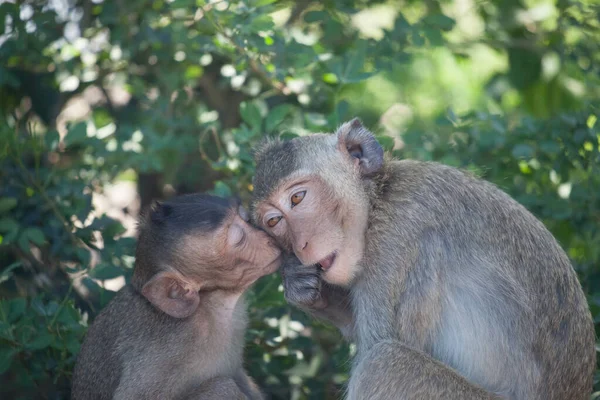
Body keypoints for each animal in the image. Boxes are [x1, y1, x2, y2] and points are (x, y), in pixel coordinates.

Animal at [72, 193, 282, 396]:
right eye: (239, 239)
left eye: (246, 219)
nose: (270, 239)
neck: (211, 307)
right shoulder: (169, 351)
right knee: (222, 386)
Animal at [250, 120, 596, 400]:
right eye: (273, 221)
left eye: (297, 198)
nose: (302, 245)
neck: (380, 197)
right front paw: (302, 287)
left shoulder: (396, 239)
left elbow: (377, 345)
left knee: (384, 363)